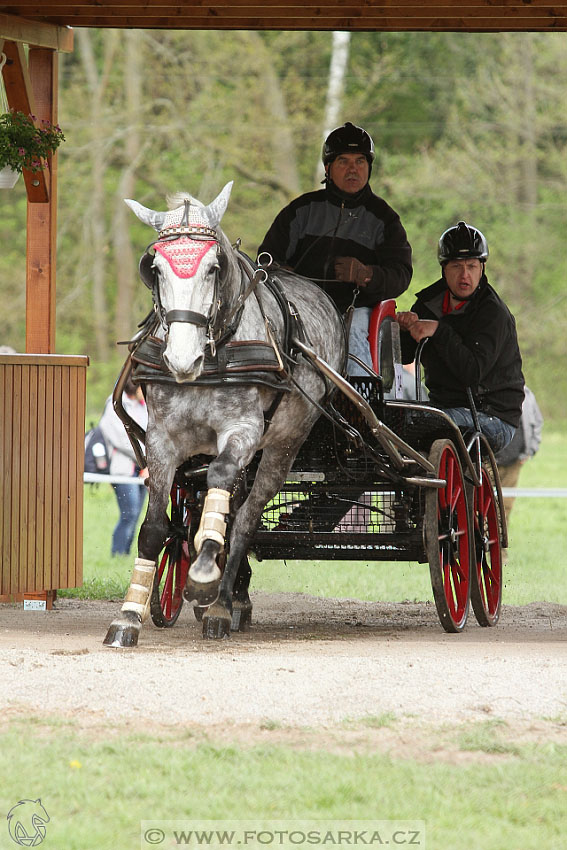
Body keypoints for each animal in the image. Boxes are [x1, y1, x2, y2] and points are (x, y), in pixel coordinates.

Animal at [104, 181, 348, 644]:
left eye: (213, 268)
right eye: (155, 268)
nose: (182, 359)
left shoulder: (244, 430)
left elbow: (222, 488)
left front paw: (203, 574)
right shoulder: (162, 438)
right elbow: (155, 528)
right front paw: (128, 616)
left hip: (282, 447)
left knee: (245, 518)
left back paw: (219, 603)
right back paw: (231, 596)